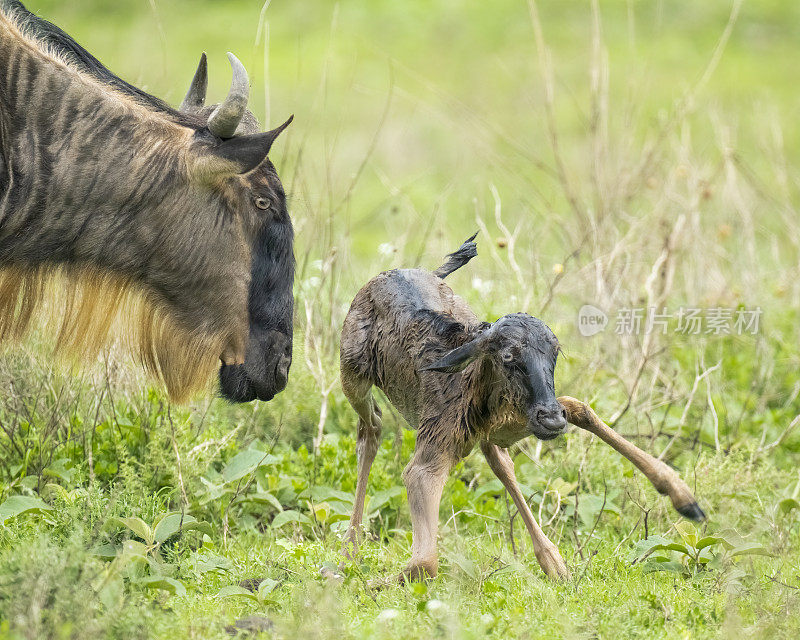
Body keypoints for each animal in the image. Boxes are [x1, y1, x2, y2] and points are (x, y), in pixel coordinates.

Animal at [340, 234, 704, 580]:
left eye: (555, 352)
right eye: (508, 356)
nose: (552, 419)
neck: (470, 384)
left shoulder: (514, 420)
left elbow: (579, 407)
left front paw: (686, 499)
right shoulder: (431, 454)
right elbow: (425, 562)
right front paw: (364, 582)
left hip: (495, 428)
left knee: (499, 460)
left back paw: (553, 561)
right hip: (352, 375)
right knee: (371, 428)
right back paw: (349, 551)